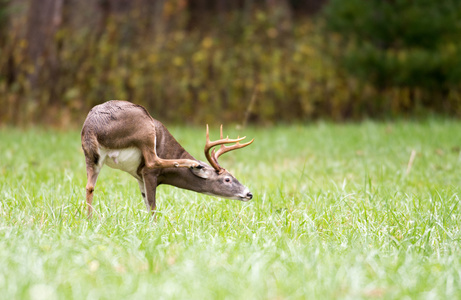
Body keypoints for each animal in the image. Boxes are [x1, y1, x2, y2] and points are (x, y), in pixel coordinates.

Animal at [82, 101, 255, 216]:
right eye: (227, 179)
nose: (249, 194)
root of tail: (92, 126)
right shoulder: (148, 173)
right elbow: (152, 206)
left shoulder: (139, 177)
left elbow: (146, 203)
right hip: (144, 126)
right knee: (153, 160)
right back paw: (193, 164)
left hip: (91, 156)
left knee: (89, 186)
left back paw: (90, 219)